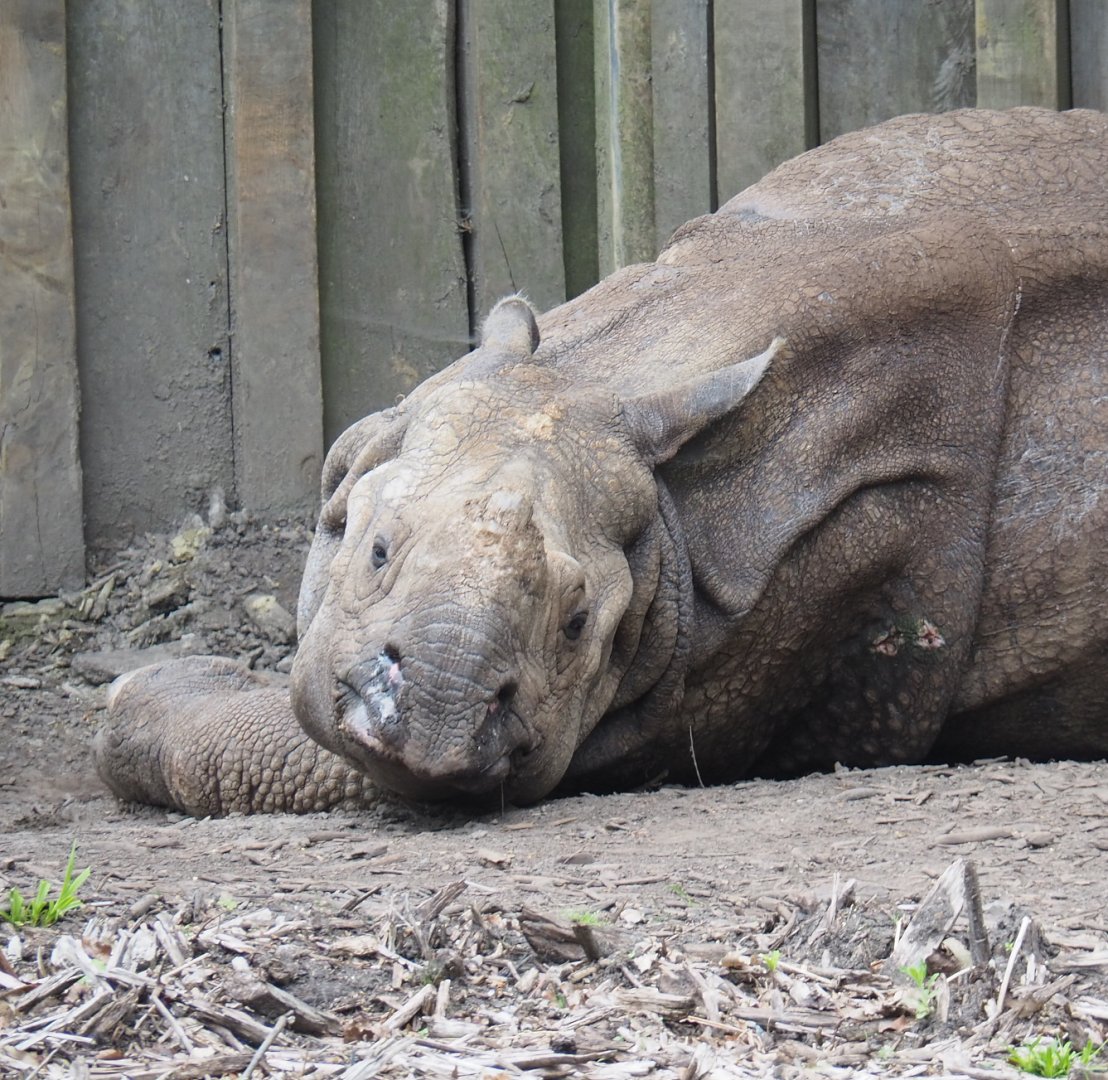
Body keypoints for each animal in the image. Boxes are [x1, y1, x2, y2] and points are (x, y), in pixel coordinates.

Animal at [95, 107, 1108, 816]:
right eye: (376, 550)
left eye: (582, 621)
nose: (435, 728)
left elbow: (299, 740)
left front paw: (147, 691)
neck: (604, 372)